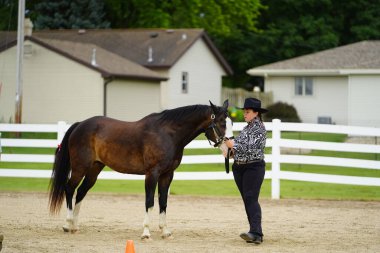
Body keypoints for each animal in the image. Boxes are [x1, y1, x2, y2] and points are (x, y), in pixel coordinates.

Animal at [48, 99, 227, 239]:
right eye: (221, 123)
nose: (228, 147)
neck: (168, 134)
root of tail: (80, 125)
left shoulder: (167, 175)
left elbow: (163, 202)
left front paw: (165, 231)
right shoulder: (152, 174)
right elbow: (149, 201)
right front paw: (146, 233)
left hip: (94, 169)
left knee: (80, 192)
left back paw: (75, 227)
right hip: (80, 167)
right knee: (69, 188)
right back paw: (67, 224)